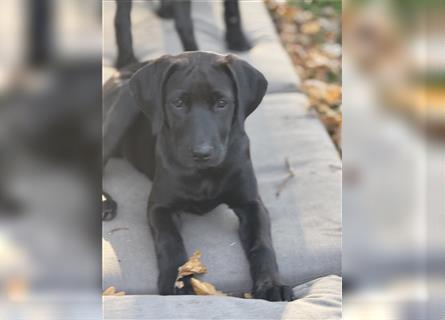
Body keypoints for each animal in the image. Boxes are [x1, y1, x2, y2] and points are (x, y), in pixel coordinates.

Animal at [103, 51, 294, 302]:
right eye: (178, 103)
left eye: (221, 103)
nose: (202, 153)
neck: (204, 174)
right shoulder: (159, 207)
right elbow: (170, 241)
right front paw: (178, 282)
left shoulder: (252, 203)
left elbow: (262, 244)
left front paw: (272, 284)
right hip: (122, 107)